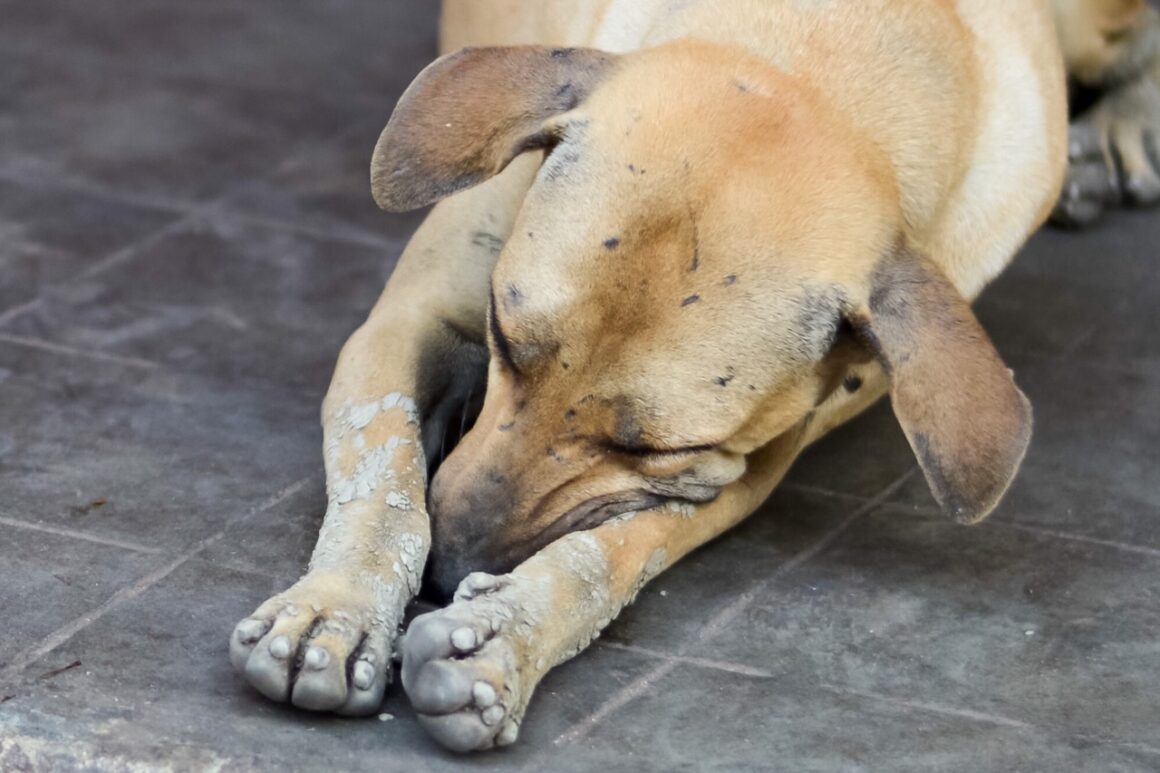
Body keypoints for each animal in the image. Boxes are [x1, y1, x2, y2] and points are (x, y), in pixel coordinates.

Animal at [226, 0, 1160, 747]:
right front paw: (337, 608)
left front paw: (503, 636)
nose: (448, 571)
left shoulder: (740, 469)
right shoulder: (407, 325)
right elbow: (383, 470)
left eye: (654, 449)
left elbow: (611, 550)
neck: (828, 46)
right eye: (504, 334)